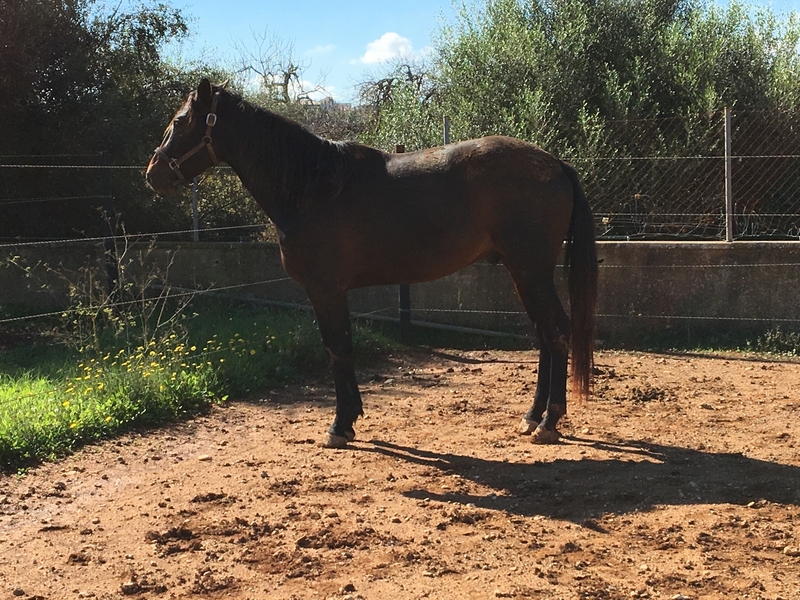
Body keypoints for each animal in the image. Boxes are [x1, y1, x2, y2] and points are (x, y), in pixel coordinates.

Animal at [146, 79, 598, 449]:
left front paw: (340, 425)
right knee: (544, 336)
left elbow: (337, 349)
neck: (312, 187)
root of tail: (555, 164)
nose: (153, 174)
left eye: (180, 121)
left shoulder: (325, 290)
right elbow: (341, 348)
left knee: (557, 332)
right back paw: (532, 417)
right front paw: (349, 420)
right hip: (522, 272)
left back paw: (549, 422)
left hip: (530, 271)